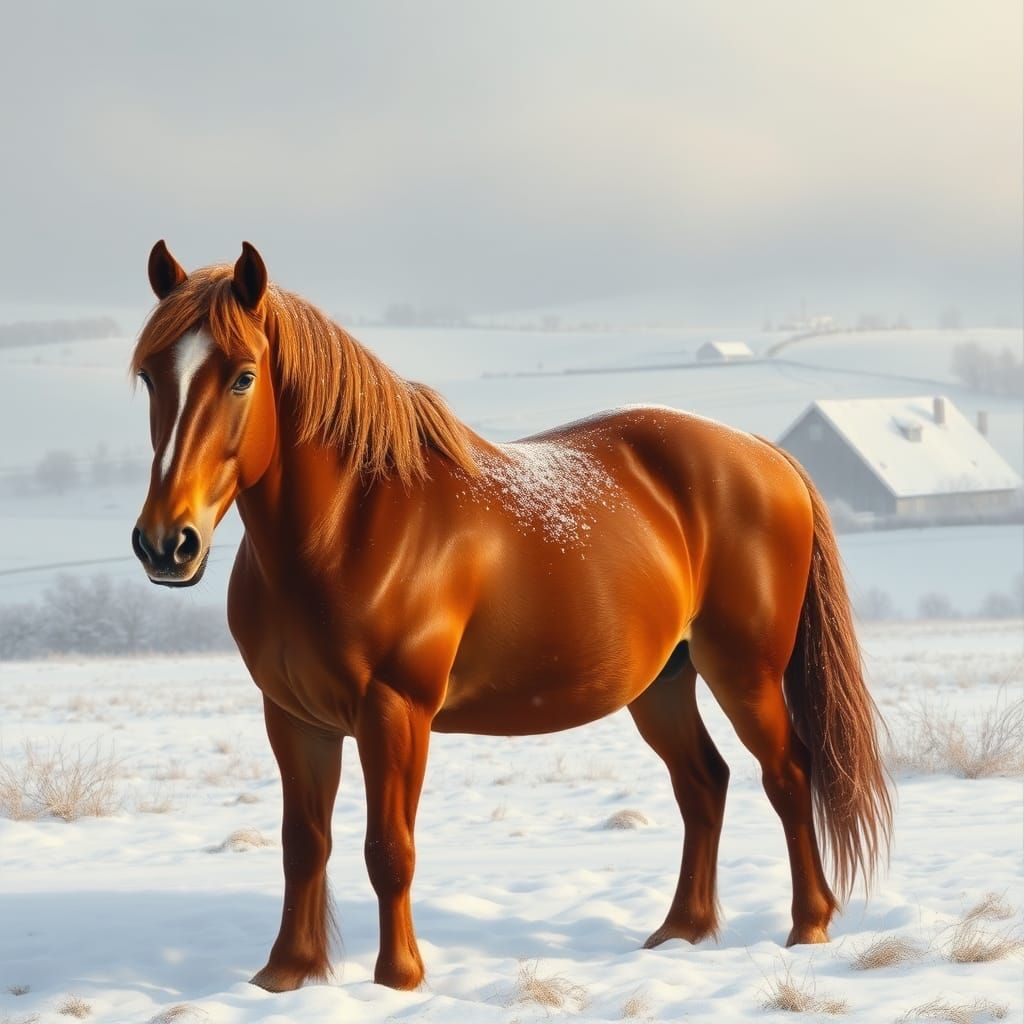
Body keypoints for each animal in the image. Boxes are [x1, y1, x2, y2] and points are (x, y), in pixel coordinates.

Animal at [131, 240, 892, 994]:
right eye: (149, 377)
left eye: (243, 377)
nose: (167, 543)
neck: (348, 527)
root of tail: (768, 455)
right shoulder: (293, 717)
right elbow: (302, 844)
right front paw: (284, 976)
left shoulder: (395, 710)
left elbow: (389, 848)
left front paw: (398, 980)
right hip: (663, 683)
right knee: (704, 784)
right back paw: (681, 931)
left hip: (744, 672)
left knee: (787, 775)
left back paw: (807, 926)